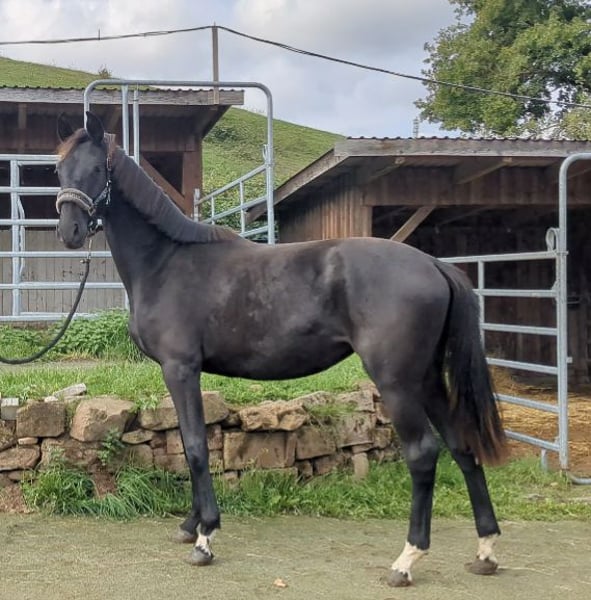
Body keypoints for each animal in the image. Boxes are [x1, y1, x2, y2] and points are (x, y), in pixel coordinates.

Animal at [54, 111, 506, 588]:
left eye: (97, 170)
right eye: (59, 170)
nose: (69, 231)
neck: (167, 262)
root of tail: (433, 264)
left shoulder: (181, 369)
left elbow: (195, 447)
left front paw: (205, 537)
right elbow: (188, 443)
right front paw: (190, 525)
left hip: (397, 383)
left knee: (422, 454)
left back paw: (406, 560)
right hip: (428, 379)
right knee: (461, 445)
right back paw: (485, 550)